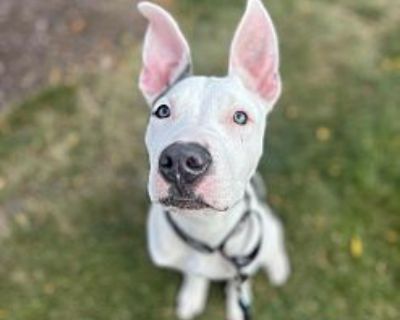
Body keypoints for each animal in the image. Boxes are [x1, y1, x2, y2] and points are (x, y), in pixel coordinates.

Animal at [138, 0, 290, 320]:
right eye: (162, 111)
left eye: (240, 117)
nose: (181, 160)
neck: (205, 228)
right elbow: (195, 274)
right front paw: (192, 293)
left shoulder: (243, 265)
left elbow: (239, 284)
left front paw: (236, 307)